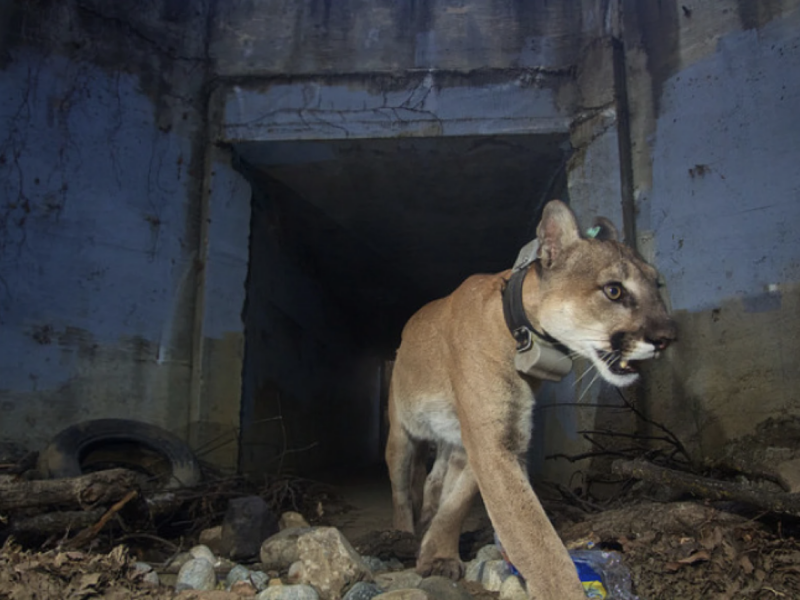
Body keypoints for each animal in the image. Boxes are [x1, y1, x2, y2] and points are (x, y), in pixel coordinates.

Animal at [388, 199, 676, 596]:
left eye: (657, 284)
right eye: (614, 291)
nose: (668, 337)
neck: (524, 331)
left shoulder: (490, 437)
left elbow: (458, 502)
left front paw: (438, 552)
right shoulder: (490, 441)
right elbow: (536, 540)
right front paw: (563, 590)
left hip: (451, 439)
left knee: (435, 478)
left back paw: (428, 515)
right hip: (400, 431)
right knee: (401, 487)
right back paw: (403, 531)